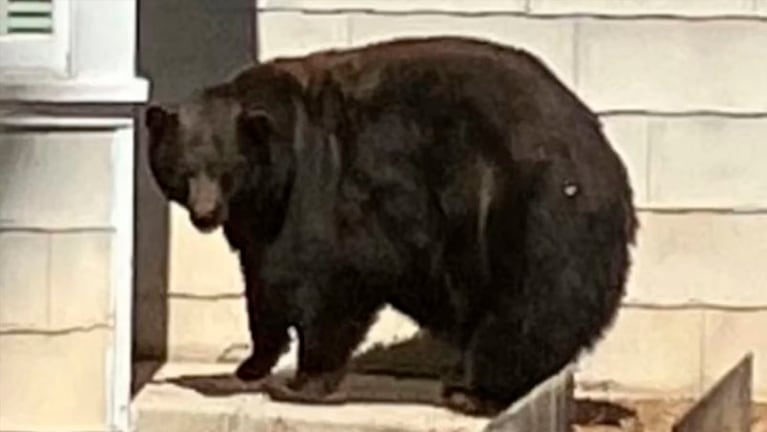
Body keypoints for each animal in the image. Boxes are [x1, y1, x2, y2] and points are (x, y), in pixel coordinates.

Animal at [147, 37, 640, 416]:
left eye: (227, 169)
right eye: (183, 169)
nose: (205, 214)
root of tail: (606, 159)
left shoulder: (330, 188)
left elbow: (331, 278)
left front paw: (301, 381)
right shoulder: (260, 220)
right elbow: (263, 282)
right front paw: (251, 364)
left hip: (526, 210)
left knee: (527, 305)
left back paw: (473, 391)